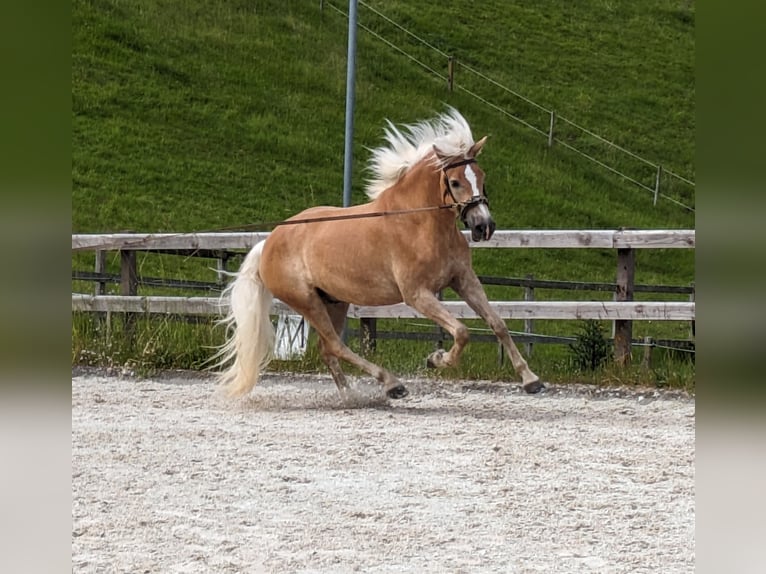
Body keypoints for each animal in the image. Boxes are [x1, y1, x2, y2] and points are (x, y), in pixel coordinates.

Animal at [214, 107, 544, 400]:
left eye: (481, 176)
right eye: (454, 182)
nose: (483, 226)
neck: (420, 222)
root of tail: (269, 241)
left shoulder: (463, 280)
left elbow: (498, 324)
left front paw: (531, 380)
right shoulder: (417, 295)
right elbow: (462, 331)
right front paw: (436, 359)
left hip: (334, 301)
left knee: (328, 350)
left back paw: (351, 397)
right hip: (307, 302)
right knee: (336, 346)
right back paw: (392, 385)